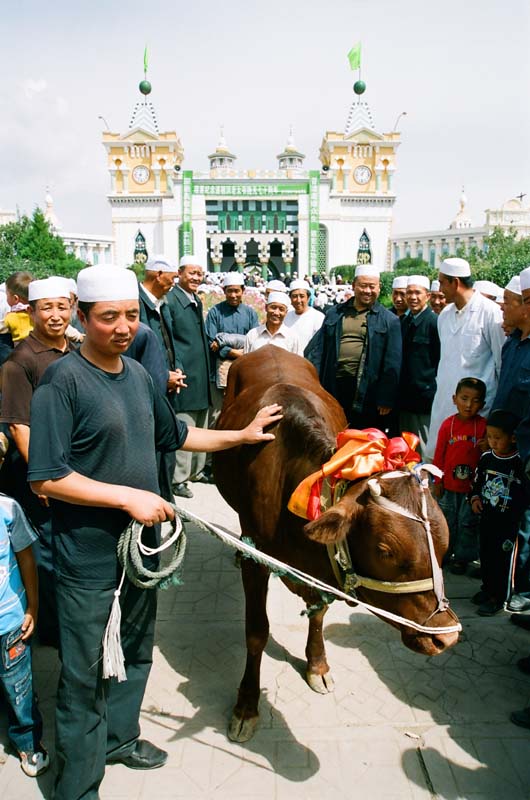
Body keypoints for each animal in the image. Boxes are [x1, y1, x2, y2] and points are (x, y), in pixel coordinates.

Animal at [212, 346, 456, 740]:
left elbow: (319, 614)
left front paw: (318, 666)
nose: (446, 638)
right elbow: (256, 632)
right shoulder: (258, 559)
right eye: (385, 550)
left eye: (446, 542)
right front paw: (247, 705)